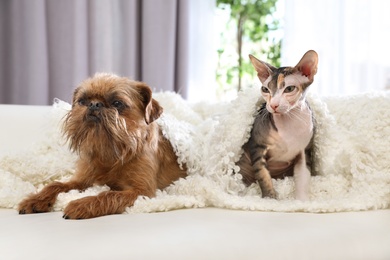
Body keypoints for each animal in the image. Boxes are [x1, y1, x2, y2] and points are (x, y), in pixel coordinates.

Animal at [18, 73, 187, 219]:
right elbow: (55, 185)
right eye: (82, 101)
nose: (94, 104)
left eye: (117, 103)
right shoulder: (82, 181)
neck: (110, 151)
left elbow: (109, 195)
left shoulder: (142, 191)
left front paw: (81, 204)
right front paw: (35, 199)